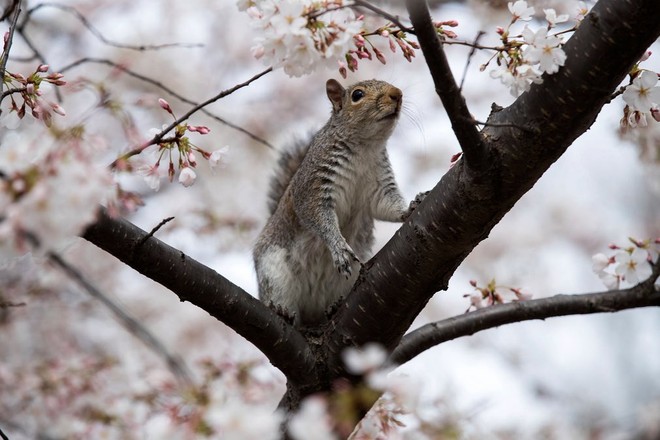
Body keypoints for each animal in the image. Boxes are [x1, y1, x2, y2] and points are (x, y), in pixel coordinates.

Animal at [253, 78, 428, 326]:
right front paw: (339, 247)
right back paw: (282, 312)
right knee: (283, 301)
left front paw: (411, 208)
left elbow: (386, 205)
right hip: (273, 271)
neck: (365, 147)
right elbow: (318, 217)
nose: (397, 94)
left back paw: (334, 307)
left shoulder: (379, 186)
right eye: (357, 95)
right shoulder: (313, 187)